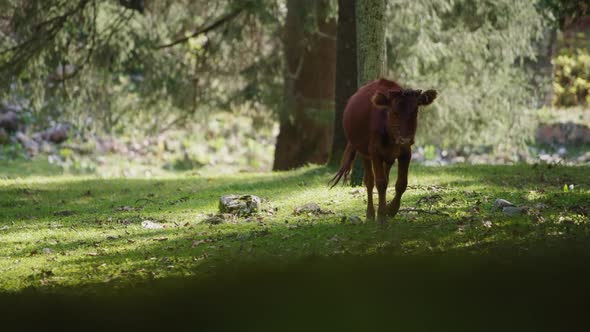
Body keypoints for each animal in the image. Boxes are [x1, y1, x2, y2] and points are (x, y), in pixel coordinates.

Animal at [330, 77, 438, 226]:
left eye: (415, 111)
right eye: (394, 112)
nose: (405, 139)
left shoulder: (406, 153)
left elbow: (401, 183)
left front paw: (391, 209)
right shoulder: (375, 153)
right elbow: (380, 183)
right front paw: (381, 217)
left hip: (389, 156)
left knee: (386, 175)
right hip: (364, 152)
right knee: (370, 181)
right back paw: (370, 214)